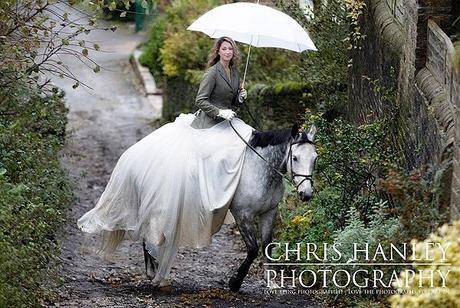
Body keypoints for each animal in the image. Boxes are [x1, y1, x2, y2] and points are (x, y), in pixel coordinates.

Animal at [144, 122, 316, 292]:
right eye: (295, 158)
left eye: (315, 158)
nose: (306, 194)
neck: (260, 168)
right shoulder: (243, 215)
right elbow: (253, 249)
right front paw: (235, 282)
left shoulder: (269, 212)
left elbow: (267, 246)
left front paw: (271, 283)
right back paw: (153, 271)